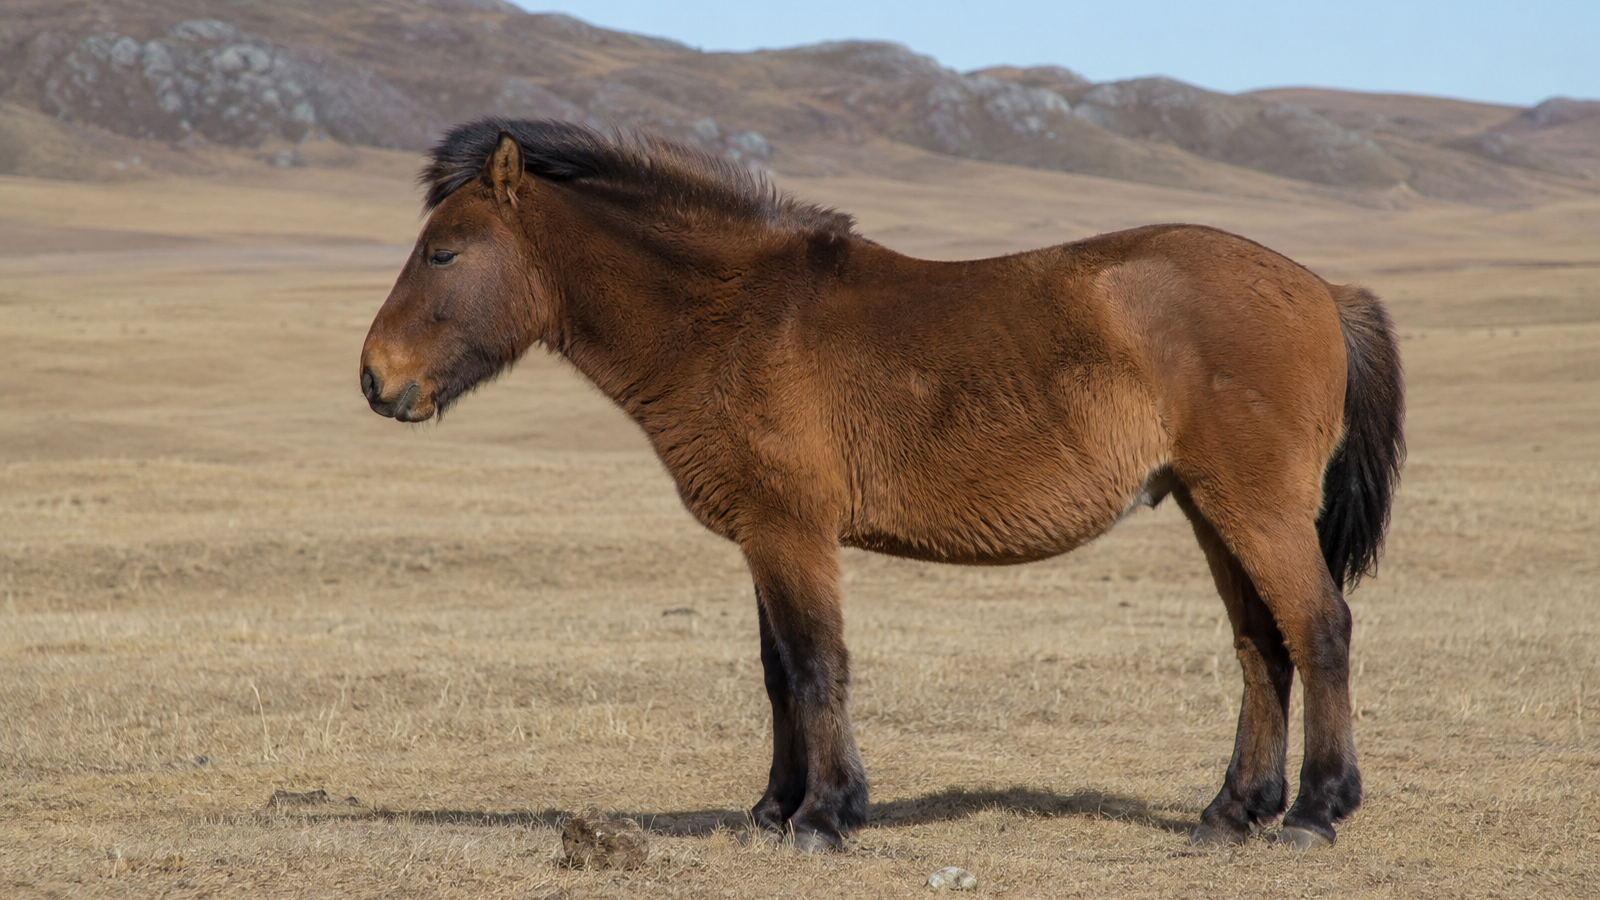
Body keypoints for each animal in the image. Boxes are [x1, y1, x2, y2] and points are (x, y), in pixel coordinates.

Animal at [360, 119, 1404, 852]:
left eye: (443, 253)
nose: (375, 380)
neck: (732, 320)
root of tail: (1323, 290)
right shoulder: (762, 536)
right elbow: (778, 670)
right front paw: (773, 809)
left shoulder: (792, 531)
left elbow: (817, 663)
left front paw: (826, 815)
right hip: (1209, 508)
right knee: (1261, 648)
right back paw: (1232, 813)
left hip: (1253, 508)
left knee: (1319, 629)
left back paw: (1314, 811)